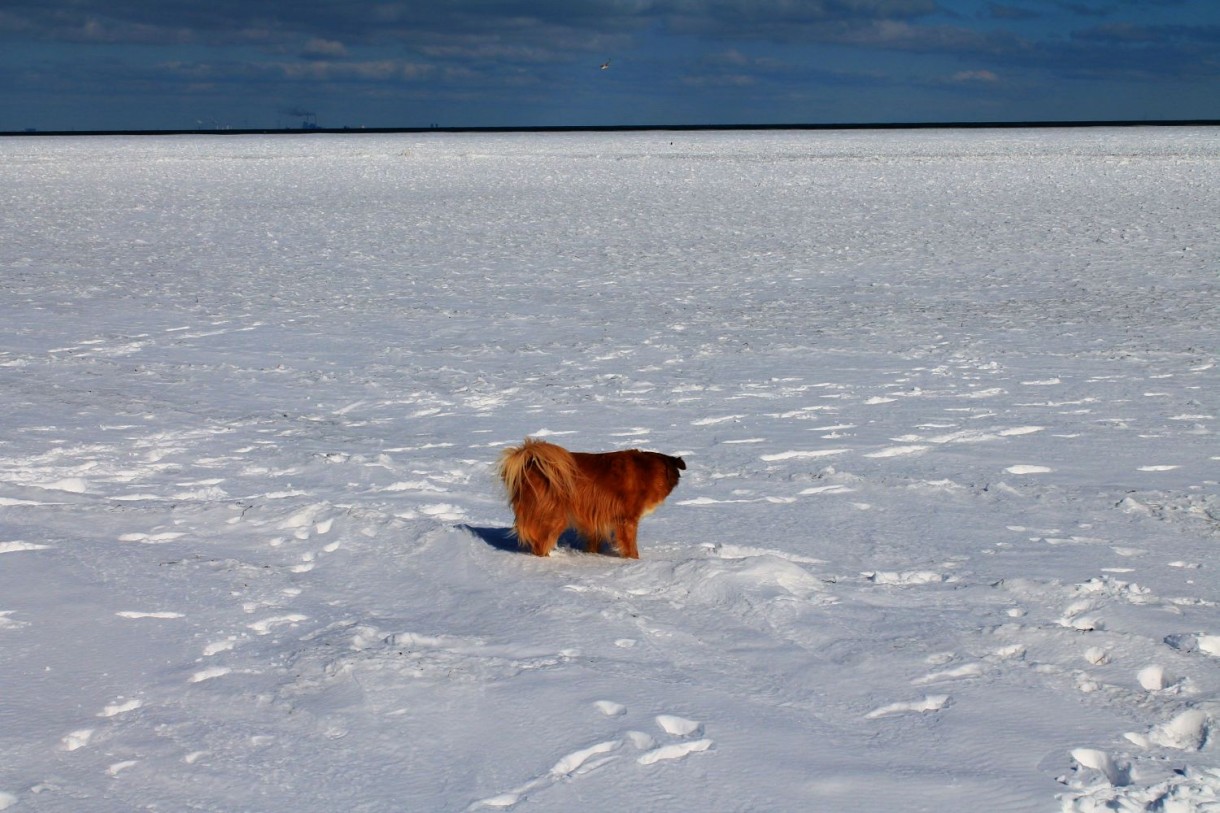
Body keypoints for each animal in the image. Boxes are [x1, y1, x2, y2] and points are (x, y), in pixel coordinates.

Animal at [495, 437, 688, 556]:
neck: (649, 469)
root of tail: (529, 464)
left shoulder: (595, 520)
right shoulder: (627, 520)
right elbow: (631, 547)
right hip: (554, 518)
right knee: (540, 546)